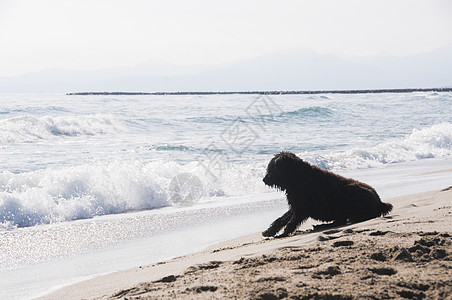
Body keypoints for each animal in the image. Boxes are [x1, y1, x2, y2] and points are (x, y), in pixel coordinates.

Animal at [262, 152, 392, 237]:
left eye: (272, 168)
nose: (264, 179)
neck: (299, 178)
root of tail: (379, 202)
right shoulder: (296, 206)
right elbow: (281, 220)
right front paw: (269, 232)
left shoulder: (301, 209)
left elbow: (291, 222)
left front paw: (283, 234)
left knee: (343, 220)